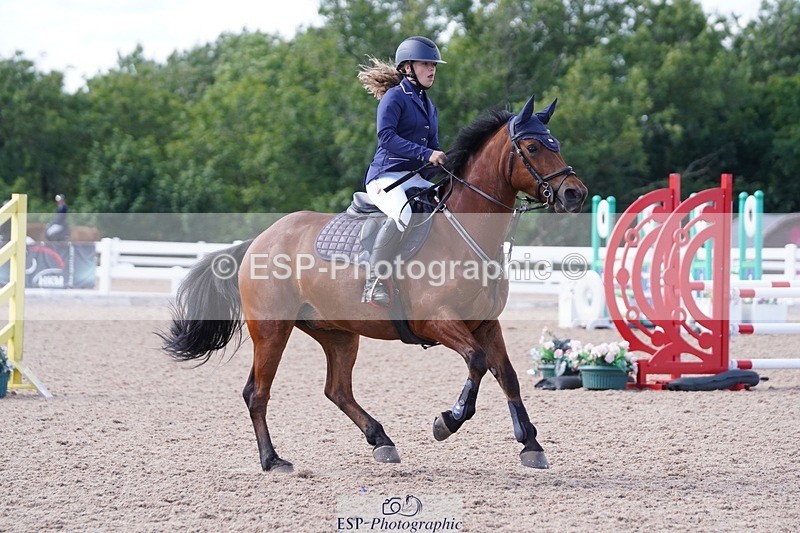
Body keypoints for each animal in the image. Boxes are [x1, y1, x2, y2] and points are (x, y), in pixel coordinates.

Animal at [161, 95, 588, 472]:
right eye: (532, 147)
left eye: (556, 144)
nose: (575, 193)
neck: (463, 233)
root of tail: (260, 240)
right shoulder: (436, 321)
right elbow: (478, 362)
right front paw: (446, 421)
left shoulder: (485, 323)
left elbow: (508, 375)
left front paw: (531, 445)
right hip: (272, 331)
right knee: (257, 392)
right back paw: (273, 460)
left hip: (338, 333)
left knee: (337, 389)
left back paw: (381, 440)